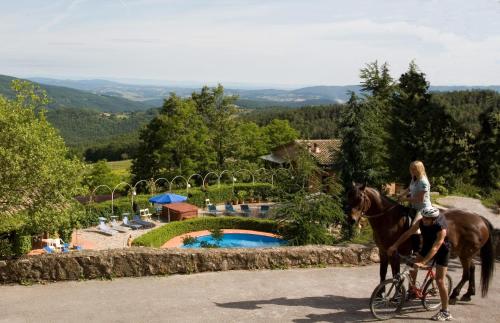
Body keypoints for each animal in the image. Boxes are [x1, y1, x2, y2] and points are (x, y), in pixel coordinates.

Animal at [348, 184, 496, 306]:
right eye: (349, 196)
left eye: (360, 198)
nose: (351, 220)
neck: (390, 219)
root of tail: (480, 219)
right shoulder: (383, 251)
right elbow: (383, 272)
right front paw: (380, 294)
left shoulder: (395, 254)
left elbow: (395, 273)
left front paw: (396, 296)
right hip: (466, 253)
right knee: (472, 269)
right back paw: (468, 294)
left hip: (465, 254)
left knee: (466, 273)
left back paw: (454, 294)